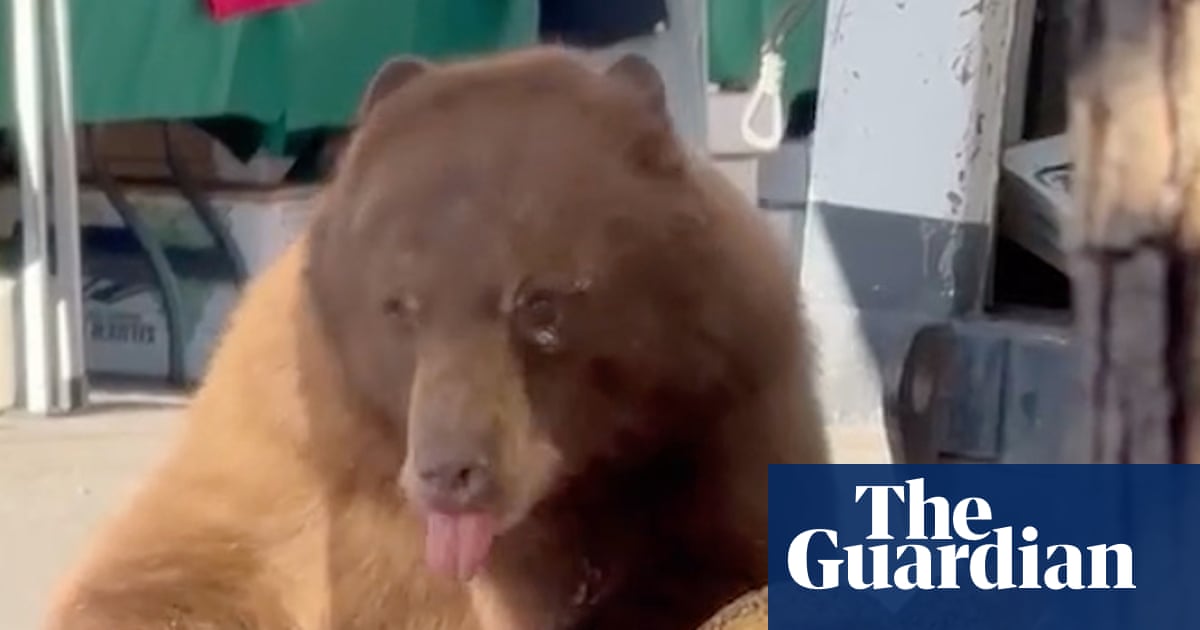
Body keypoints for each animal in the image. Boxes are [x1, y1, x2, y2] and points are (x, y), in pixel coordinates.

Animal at [41, 46, 829, 630]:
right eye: (399, 305)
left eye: (540, 302)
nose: (450, 471)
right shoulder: (292, 445)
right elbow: (164, 574)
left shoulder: (729, 415)